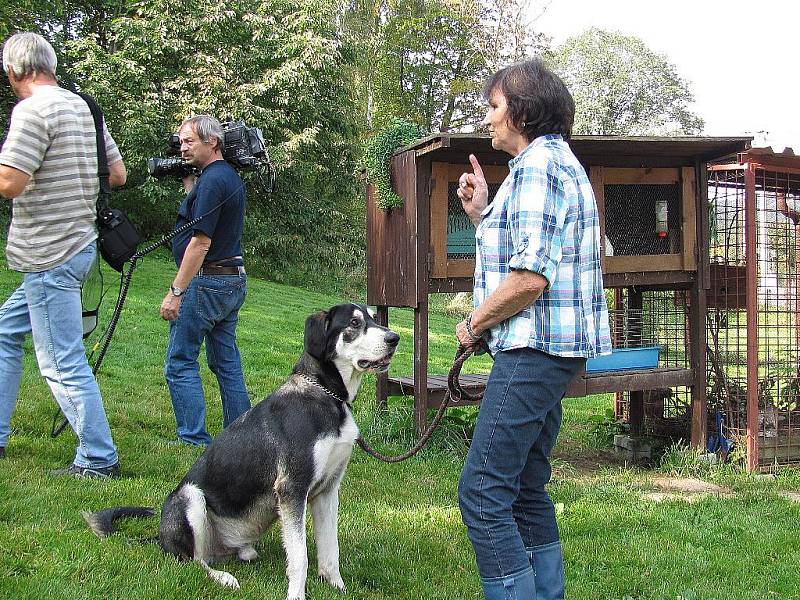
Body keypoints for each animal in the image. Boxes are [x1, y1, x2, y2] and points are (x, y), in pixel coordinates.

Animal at [83, 304, 400, 600]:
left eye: (374, 318)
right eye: (354, 323)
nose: (394, 338)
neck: (327, 396)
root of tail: (160, 537)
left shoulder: (327, 491)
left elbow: (330, 551)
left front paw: (337, 587)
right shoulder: (293, 489)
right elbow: (300, 557)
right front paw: (296, 594)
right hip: (190, 497)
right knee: (193, 561)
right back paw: (223, 577)